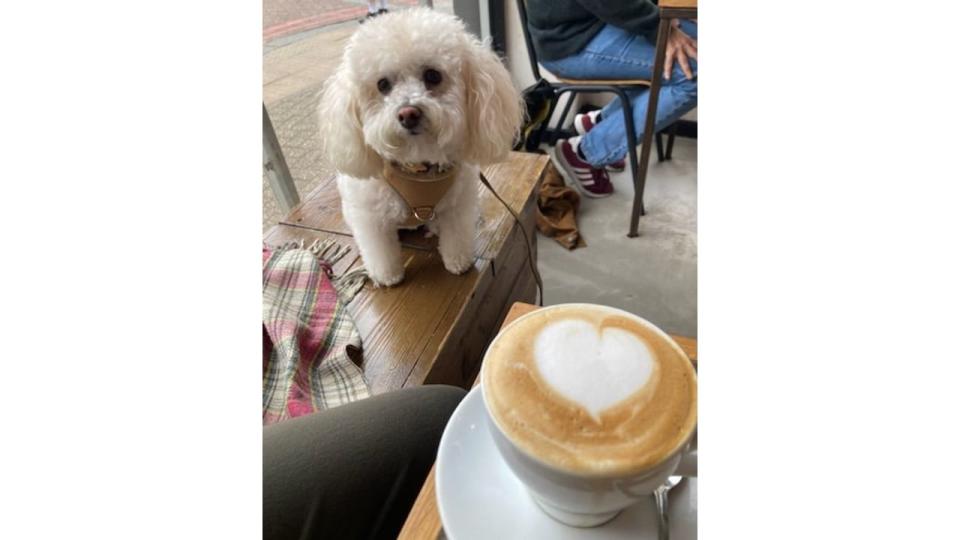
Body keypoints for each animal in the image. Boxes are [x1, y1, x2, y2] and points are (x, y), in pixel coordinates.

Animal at [318, 8, 520, 286]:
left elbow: (456, 238)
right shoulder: (370, 216)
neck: (418, 165)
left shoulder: (457, 207)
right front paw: (388, 275)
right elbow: (380, 249)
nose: (408, 113)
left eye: (433, 75)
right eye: (383, 84)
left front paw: (458, 262)